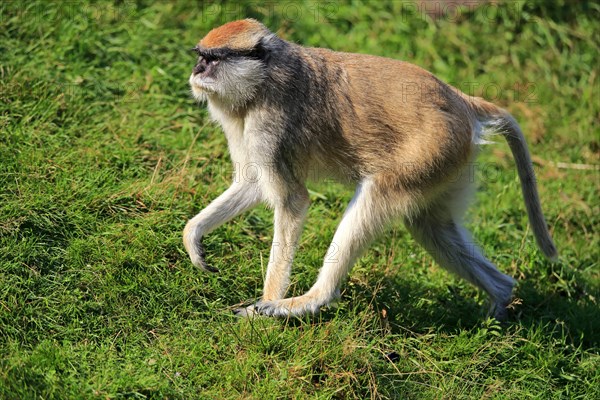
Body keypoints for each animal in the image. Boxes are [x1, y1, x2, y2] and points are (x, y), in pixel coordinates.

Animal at [184, 18, 556, 318]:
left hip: (434, 148)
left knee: (378, 195)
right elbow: (252, 183)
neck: (263, 79)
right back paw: (500, 298)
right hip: (448, 163)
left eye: (213, 59)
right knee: (431, 226)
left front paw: (267, 302)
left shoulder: (269, 124)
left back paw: (312, 300)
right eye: (200, 57)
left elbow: (292, 201)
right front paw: (193, 236)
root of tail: (461, 100)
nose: (196, 71)